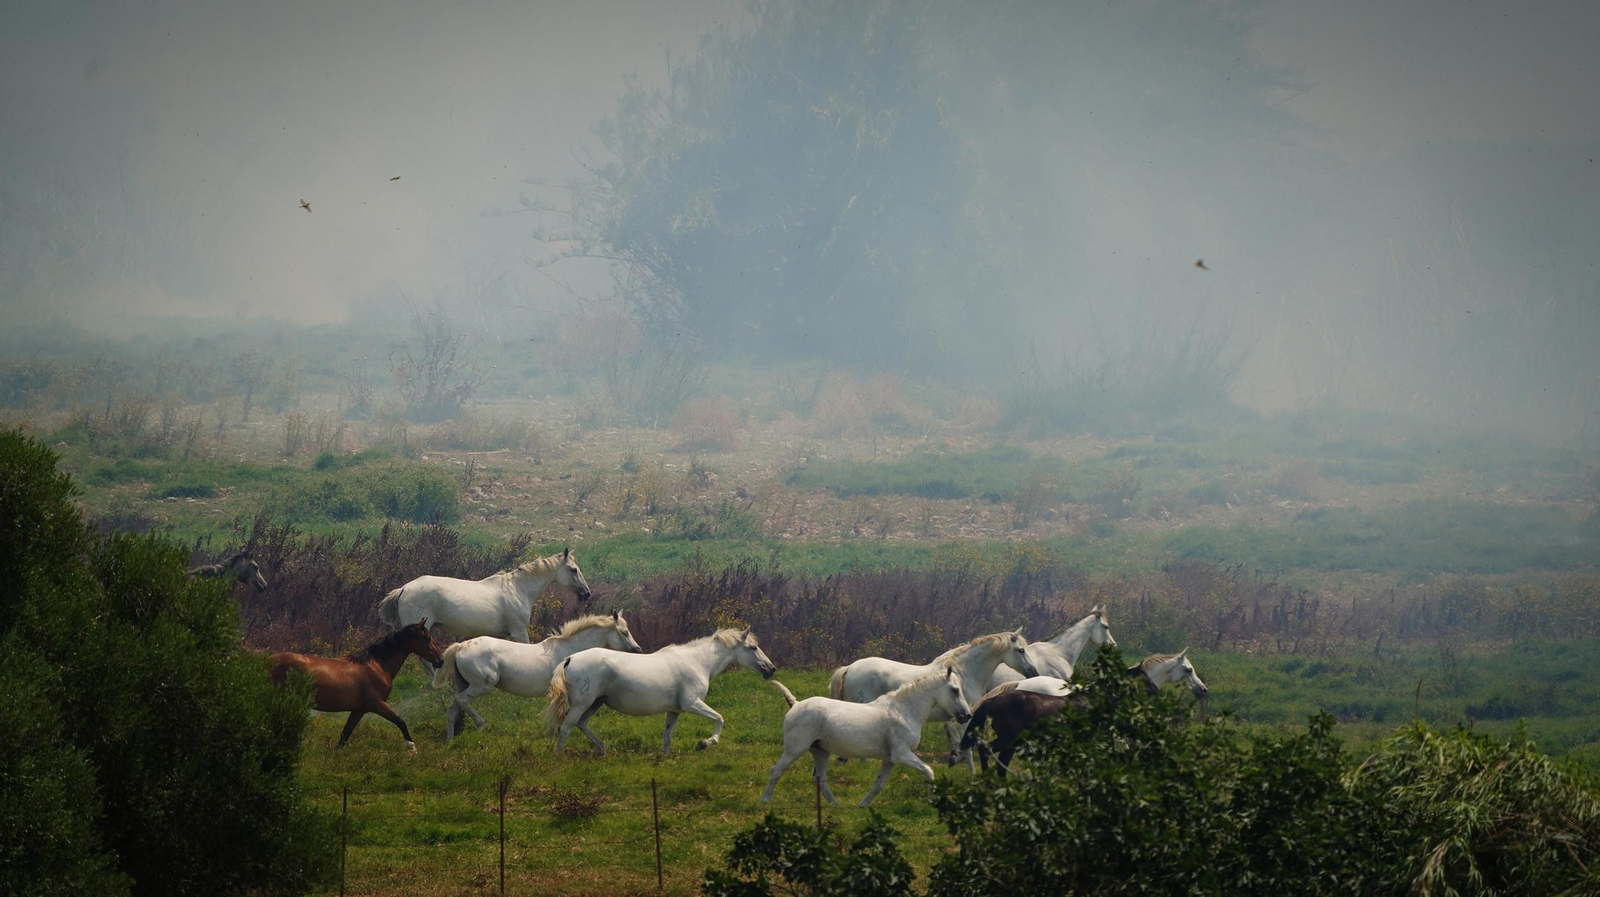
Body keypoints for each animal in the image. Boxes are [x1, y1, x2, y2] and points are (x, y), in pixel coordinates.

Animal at [269, 620, 445, 753]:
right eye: (428, 638)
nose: (441, 660)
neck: (377, 665)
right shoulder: (377, 705)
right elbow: (400, 721)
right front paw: (413, 749)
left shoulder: (359, 710)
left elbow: (345, 734)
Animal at [432, 610, 642, 742]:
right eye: (624, 632)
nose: (638, 650)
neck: (568, 652)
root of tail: (461, 647)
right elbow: (556, 715)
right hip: (481, 686)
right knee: (462, 701)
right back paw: (480, 724)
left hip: (464, 684)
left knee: (452, 709)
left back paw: (450, 740)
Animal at [544, 628, 776, 756]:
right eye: (754, 648)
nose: (771, 669)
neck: (698, 661)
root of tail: (569, 659)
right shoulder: (692, 704)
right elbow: (719, 718)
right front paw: (704, 743)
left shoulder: (675, 711)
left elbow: (667, 737)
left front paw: (664, 758)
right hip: (582, 704)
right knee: (565, 728)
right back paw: (560, 757)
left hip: (595, 703)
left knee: (581, 724)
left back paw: (603, 749)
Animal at [762, 666, 972, 807]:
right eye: (955, 690)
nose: (967, 715)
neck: (904, 710)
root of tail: (796, 704)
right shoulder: (902, 755)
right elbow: (929, 771)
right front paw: (932, 800)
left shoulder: (890, 760)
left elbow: (879, 784)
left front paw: (863, 805)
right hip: (795, 749)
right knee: (776, 770)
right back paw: (765, 800)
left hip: (821, 752)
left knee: (819, 779)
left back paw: (835, 804)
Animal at [828, 629, 1038, 770]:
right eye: (1021, 650)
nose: (1034, 672)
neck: (964, 672)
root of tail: (849, 668)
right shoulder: (965, 717)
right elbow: (966, 744)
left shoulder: (956, 717)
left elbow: (955, 740)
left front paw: (954, 759)